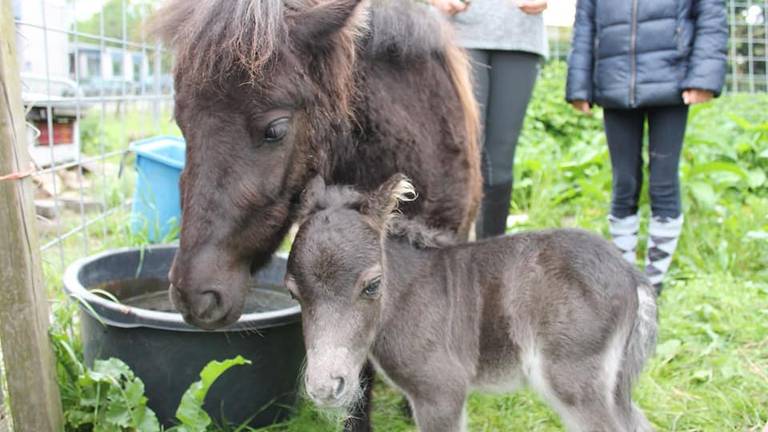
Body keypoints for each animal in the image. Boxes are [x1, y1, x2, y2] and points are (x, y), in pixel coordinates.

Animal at [284, 176, 656, 432]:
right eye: (293, 294)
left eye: (372, 285)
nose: (324, 388)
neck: (405, 297)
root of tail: (631, 275)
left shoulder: (441, 390)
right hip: (612, 381)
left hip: (574, 379)